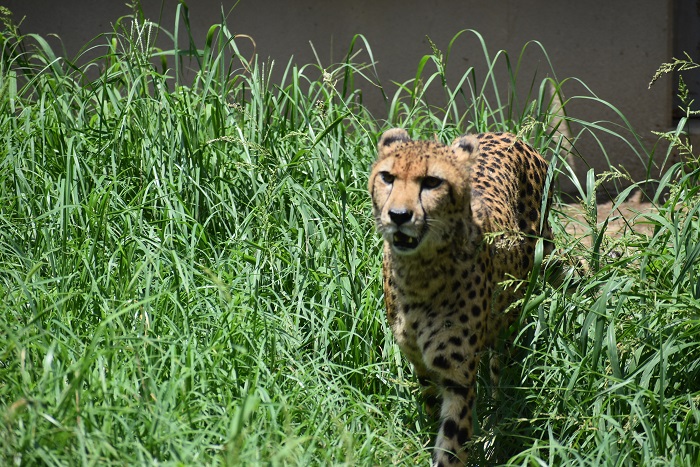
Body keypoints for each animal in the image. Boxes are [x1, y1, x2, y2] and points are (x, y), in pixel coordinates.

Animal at [370, 129, 556, 467]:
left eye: (432, 182)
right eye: (387, 177)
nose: (399, 215)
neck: (419, 274)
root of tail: (508, 133)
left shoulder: (457, 377)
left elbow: (451, 444)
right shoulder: (420, 364)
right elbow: (431, 408)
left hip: (509, 318)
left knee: (499, 379)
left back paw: (495, 433)